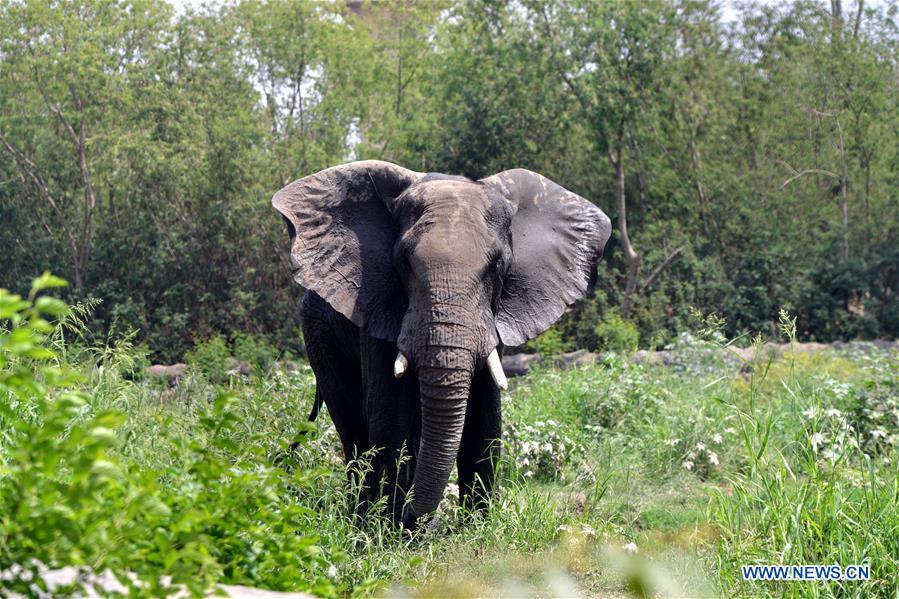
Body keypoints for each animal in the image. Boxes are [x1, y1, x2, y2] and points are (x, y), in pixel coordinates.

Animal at [272, 161, 612, 528]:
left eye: (496, 266)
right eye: (404, 262)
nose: (415, 519)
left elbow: (484, 414)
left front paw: (476, 528)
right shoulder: (375, 302)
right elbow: (388, 413)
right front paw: (387, 530)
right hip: (318, 330)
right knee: (351, 423)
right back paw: (362, 516)